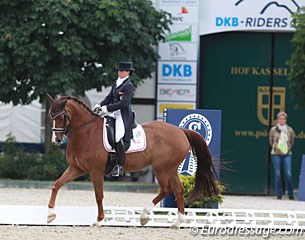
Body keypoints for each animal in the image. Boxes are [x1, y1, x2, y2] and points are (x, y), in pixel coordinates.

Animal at [46, 94, 217, 228]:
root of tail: (180, 131)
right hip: (171, 169)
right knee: (178, 190)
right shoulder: (76, 168)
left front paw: (98, 221)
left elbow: (98, 195)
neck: (86, 132)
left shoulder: (96, 171)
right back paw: (177, 222)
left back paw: (144, 216)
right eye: (50, 116)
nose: (56, 140)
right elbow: (56, 185)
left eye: (62, 116)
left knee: (166, 189)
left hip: (161, 168)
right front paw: (50, 215)